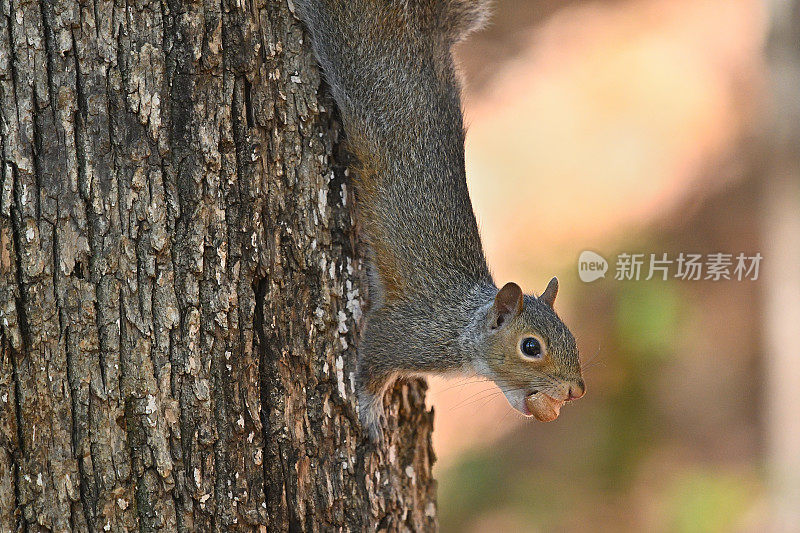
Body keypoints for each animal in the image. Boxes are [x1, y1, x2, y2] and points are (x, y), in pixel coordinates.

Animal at [296, 0, 584, 440]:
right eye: (531, 347)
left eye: (571, 336)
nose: (577, 391)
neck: (462, 325)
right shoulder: (407, 334)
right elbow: (371, 361)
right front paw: (370, 415)